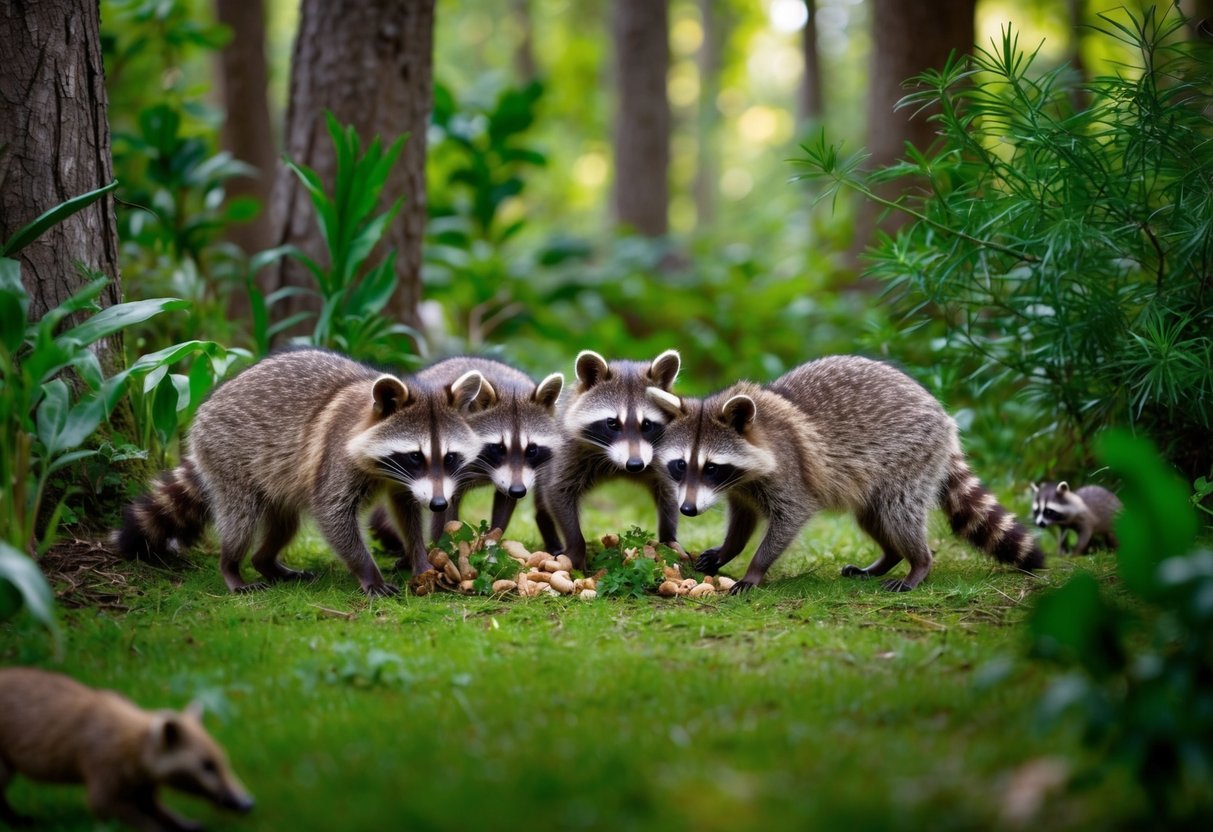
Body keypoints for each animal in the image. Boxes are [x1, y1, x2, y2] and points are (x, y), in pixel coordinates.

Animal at [0, 666, 253, 831]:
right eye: (207, 766)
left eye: (223, 761)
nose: (247, 803)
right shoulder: (103, 791)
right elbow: (144, 822)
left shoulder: (144, 789)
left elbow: (163, 814)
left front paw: (188, 825)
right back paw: (19, 821)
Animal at [114, 349, 484, 596]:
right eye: (415, 457)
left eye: (450, 457)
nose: (439, 504)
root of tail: (208, 405)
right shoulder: (335, 458)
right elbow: (333, 514)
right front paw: (368, 572)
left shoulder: (403, 483)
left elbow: (405, 510)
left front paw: (419, 557)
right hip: (225, 454)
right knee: (240, 521)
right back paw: (231, 566)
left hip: (277, 485)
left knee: (285, 525)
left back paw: (266, 561)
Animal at [369, 356, 564, 548]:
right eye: (499, 448)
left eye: (532, 449)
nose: (518, 491)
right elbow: (444, 511)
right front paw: (443, 548)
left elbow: (505, 501)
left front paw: (491, 541)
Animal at [533, 350, 682, 570]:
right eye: (612, 423)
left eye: (647, 424)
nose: (635, 465)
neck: (616, 464)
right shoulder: (568, 451)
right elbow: (558, 490)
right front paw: (576, 547)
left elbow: (670, 490)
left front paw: (669, 536)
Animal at [646, 355, 1044, 593]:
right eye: (680, 465)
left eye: (711, 467)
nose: (688, 510)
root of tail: (943, 416)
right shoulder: (742, 489)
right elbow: (742, 520)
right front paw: (728, 550)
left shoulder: (789, 472)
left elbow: (790, 517)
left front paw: (755, 570)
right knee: (873, 517)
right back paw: (888, 558)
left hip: (913, 457)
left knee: (899, 513)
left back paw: (919, 563)